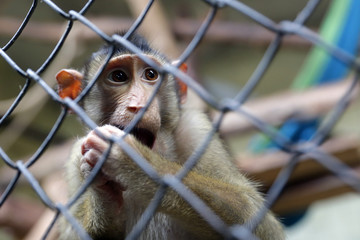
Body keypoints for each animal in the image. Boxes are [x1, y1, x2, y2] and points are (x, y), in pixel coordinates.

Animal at [56, 32, 286, 240]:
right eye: (118, 76)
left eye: (150, 74)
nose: (138, 105)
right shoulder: (75, 157)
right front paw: (104, 195)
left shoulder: (196, 129)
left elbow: (255, 214)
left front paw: (133, 161)